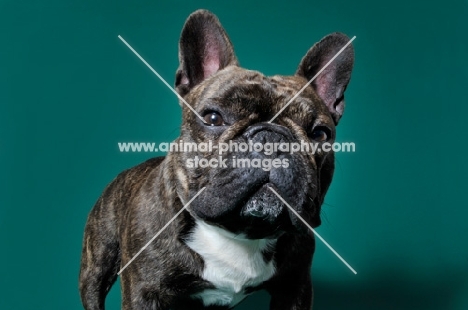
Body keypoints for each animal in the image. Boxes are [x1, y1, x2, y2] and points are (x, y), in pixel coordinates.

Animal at [78, 9, 352, 310]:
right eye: (213, 118)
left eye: (319, 133)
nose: (270, 138)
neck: (239, 234)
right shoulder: (145, 292)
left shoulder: (295, 288)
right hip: (95, 269)